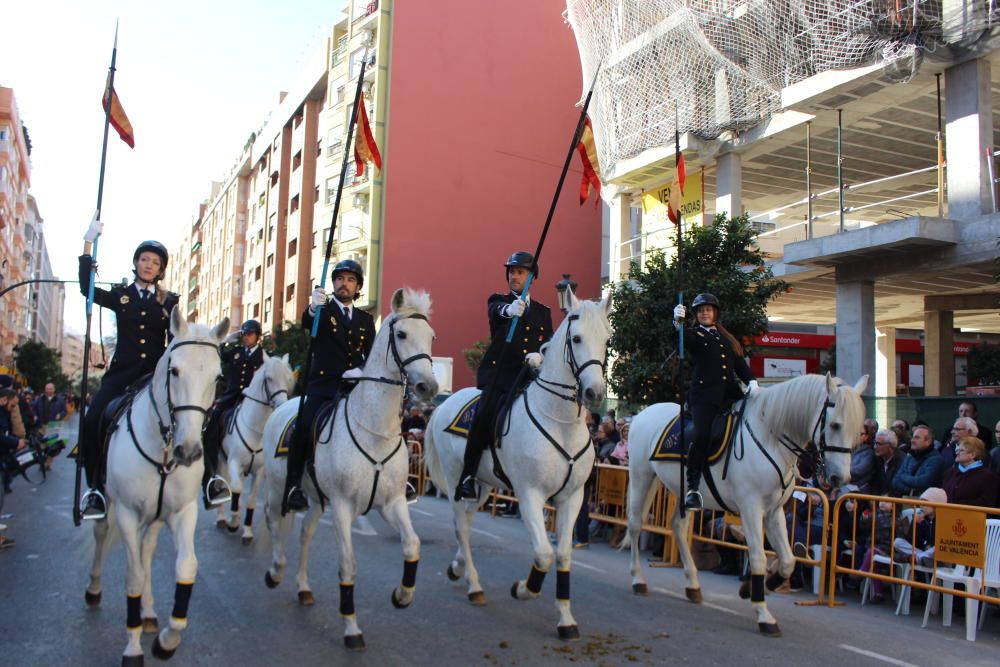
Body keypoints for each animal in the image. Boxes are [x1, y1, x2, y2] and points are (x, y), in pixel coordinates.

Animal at [84, 310, 229, 664]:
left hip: (155, 515)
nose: (188, 451)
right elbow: (133, 574)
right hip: (111, 504)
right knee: (102, 535)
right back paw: (94, 590)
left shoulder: (182, 512)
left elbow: (186, 567)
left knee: (147, 550)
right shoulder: (126, 513)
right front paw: (133, 648)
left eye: (218, 379)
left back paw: (148, 614)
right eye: (175, 371)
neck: (163, 445)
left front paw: (167, 640)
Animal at [215, 352, 292, 544]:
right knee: (221, 485)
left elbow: (250, 499)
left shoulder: (258, 471)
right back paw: (222, 517)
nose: (281, 404)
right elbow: (235, 488)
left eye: (288, 379)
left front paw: (247, 531)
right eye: (269, 378)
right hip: (220, 459)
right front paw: (233, 521)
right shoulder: (233, 462)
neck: (256, 430)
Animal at [262, 288, 438, 652]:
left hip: (317, 500)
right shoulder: (343, 507)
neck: (376, 430)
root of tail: (283, 406)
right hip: (276, 488)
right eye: (402, 334)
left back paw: (303, 588)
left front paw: (402, 595)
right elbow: (348, 565)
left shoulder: (392, 503)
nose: (428, 387)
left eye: (431, 336)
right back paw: (275, 570)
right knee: (273, 521)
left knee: (305, 533)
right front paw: (352, 627)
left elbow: (412, 545)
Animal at [422, 294, 608, 640]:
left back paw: (458, 567)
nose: (595, 393)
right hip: (456, 480)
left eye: (607, 341)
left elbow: (563, 554)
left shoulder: (572, 498)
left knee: (469, 520)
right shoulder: (530, 495)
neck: (561, 421)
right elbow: (544, 554)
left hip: (482, 484)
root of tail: (445, 404)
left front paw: (566, 619)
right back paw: (473, 585)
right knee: (461, 526)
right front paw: (524, 588)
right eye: (576, 339)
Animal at [624, 374, 868, 640]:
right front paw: (763, 612)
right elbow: (759, 557)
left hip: (681, 488)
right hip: (641, 476)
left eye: (857, 430)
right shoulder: (751, 508)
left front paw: (753, 588)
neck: (770, 438)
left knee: (678, 527)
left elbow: (788, 559)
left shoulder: (774, 512)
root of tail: (644, 413)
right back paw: (638, 580)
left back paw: (692, 584)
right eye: (834, 425)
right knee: (635, 525)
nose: (839, 478)